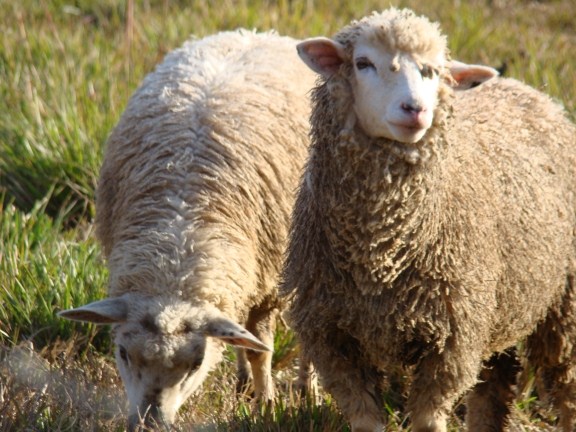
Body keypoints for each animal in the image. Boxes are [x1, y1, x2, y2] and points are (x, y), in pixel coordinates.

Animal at [58, 29, 316, 428]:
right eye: (122, 353)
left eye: (196, 365)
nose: (149, 424)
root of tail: (254, 33)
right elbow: (248, 343)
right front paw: (257, 394)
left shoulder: (269, 285)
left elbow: (261, 350)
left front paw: (266, 405)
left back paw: (307, 388)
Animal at [282, 7, 576, 432]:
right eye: (363, 63)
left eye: (433, 71)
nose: (415, 109)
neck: (381, 255)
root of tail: (530, 90)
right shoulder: (334, 339)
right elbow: (367, 421)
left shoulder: (452, 341)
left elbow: (427, 420)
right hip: (498, 305)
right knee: (494, 385)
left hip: (562, 303)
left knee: (566, 387)